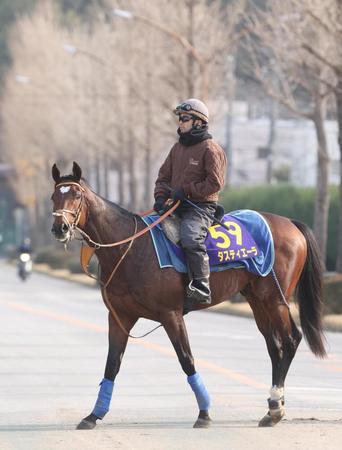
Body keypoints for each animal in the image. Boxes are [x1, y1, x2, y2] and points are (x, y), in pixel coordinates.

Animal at [50, 162, 326, 428]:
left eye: (77, 195)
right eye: (54, 196)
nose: (59, 228)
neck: (130, 248)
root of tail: (290, 223)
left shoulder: (171, 315)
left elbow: (186, 359)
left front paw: (204, 413)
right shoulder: (120, 317)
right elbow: (112, 364)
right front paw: (93, 415)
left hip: (275, 297)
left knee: (290, 339)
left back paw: (276, 405)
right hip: (257, 299)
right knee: (275, 346)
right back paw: (272, 408)